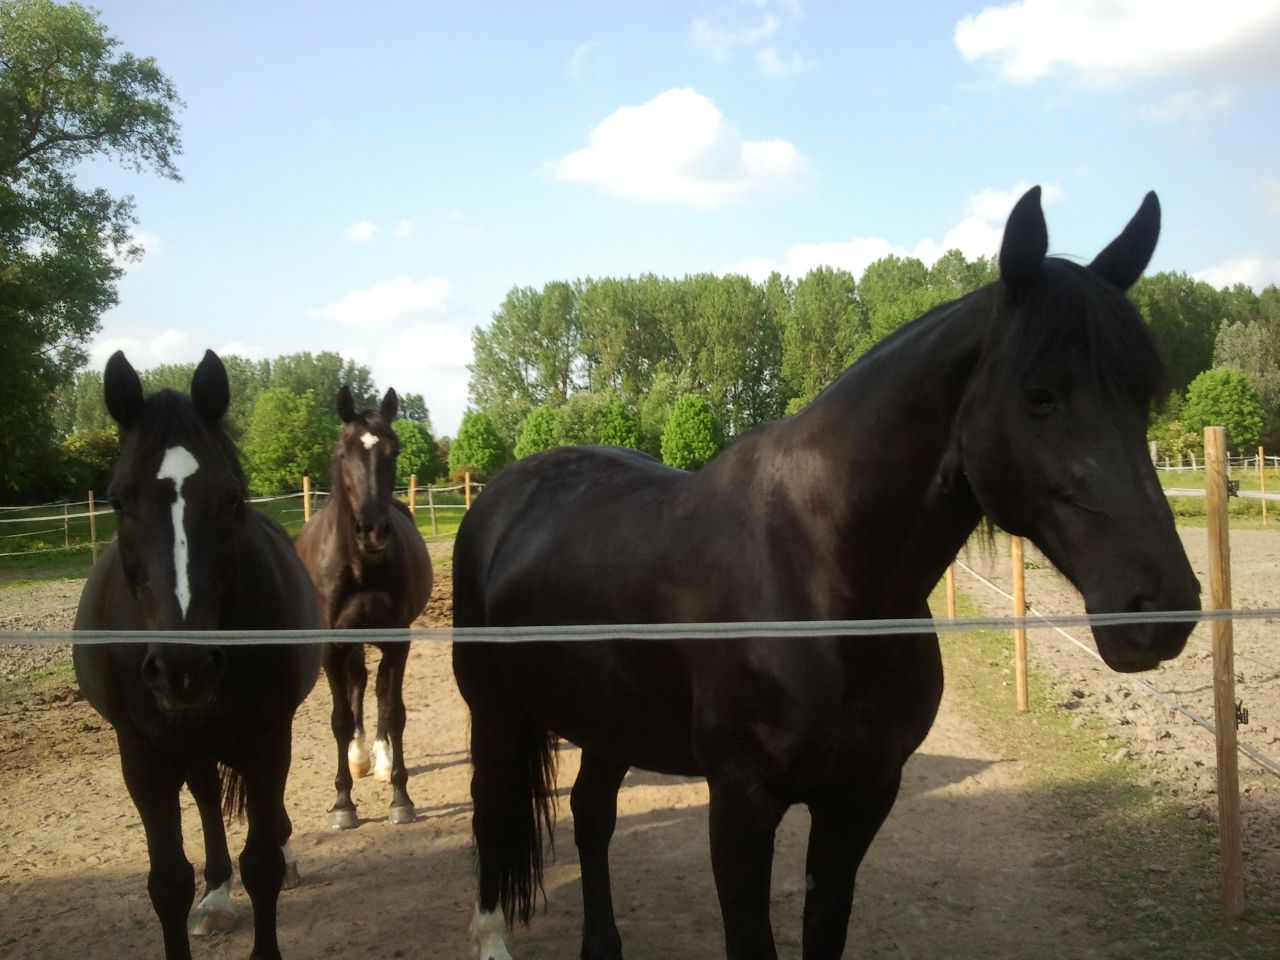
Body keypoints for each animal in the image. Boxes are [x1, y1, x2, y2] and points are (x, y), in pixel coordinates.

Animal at [73, 350, 323, 960]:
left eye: (231, 498)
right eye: (118, 500)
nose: (182, 669)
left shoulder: (267, 736)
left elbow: (262, 865)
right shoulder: (142, 754)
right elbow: (167, 881)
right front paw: (203, 892)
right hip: (192, 747)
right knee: (209, 799)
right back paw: (215, 896)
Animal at [296, 386, 433, 829]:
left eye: (394, 450)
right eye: (344, 452)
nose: (372, 530)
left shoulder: (397, 641)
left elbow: (394, 710)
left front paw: (400, 797)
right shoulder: (332, 646)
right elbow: (339, 719)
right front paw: (343, 803)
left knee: (378, 691)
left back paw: (382, 761)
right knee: (357, 683)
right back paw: (357, 759)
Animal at [450, 187, 1201, 960]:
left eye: (1142, 393)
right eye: (1039, 394)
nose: (1161, 608)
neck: (820, 585)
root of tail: (504, 493)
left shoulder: (861, 798)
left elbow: (825, 928)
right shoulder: (741, 803)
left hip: (607, 718)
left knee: (592, 813)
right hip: (494, 708)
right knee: (491, 810)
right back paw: (491, 939)